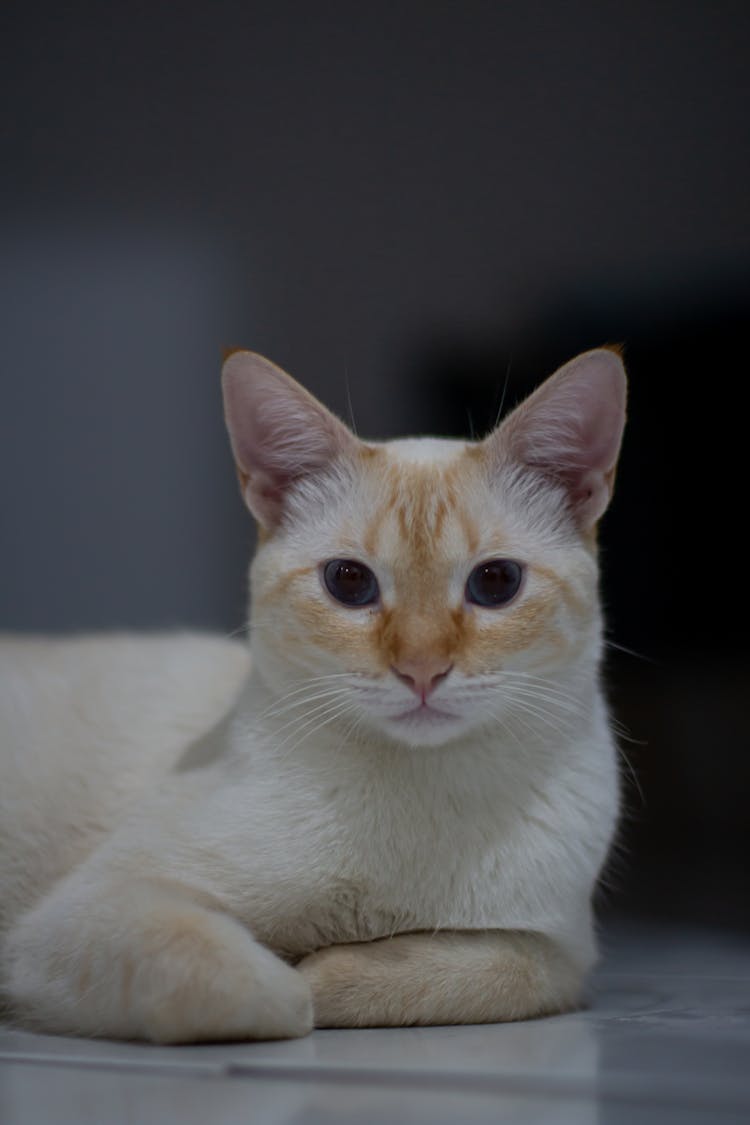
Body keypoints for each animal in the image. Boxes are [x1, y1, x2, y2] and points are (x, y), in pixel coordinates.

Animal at [0, 348, 629, 1044]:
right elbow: (266, 989)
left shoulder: (561, 952)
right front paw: (293, 974)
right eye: (349, 583)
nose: (421, 671)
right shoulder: (95, 906)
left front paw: (330, 968)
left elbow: (488, 970)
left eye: (495, 583)